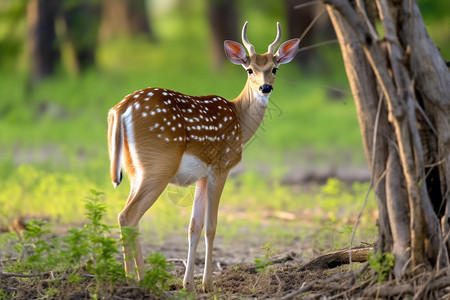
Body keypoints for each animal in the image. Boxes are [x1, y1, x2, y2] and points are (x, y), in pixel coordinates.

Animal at [107, 21, 298, 292]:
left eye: (275, 68)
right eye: (249, 69)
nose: (265, 87)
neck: (239, 119)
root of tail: (119, 109)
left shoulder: (202, 175)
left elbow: (193, 227)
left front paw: (188, 285)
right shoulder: (221, 167)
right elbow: (211, 226)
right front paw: (208, 284)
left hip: (134, 169)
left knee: (129, 216)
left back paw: (132, 278)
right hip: (158, 165)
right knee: (128, 215)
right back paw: (140, 279)